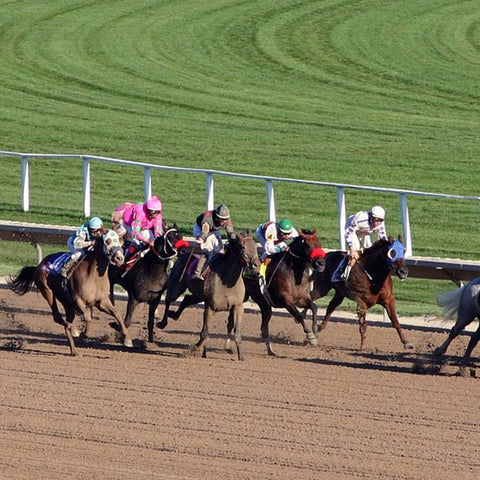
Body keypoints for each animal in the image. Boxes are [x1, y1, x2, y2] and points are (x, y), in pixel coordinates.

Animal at [158, 232, 260, 360]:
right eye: (242, 247)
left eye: (255, 246)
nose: (256, 265)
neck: (227, 281)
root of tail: (184, 254)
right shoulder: (210, 307)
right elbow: (205, 332)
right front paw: (196, 349)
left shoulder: (238, 307)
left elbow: (237, 332)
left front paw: (241, 356)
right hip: (177, 287)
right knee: (168, 299)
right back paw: (162, 322)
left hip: (198, 295)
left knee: (186, 299)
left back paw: (173, 314)